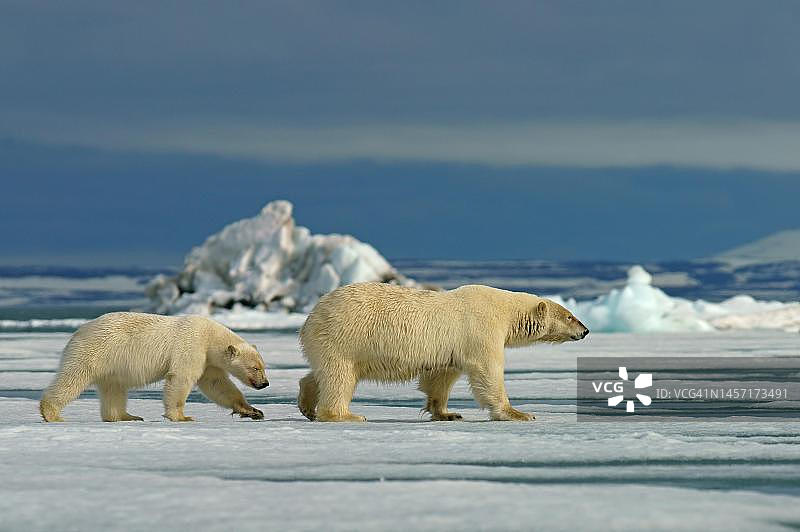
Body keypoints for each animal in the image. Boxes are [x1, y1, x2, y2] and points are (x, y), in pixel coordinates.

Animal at [39, 312, 269, 422]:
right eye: (256, 368)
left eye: (263, 366)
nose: (265, 383)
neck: (210, 336)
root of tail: (77, 332)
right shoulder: (192, 346)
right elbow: (181, 378)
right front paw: (182, 417)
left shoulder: (208, 360)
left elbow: (217, 384)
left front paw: (253, 411)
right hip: (93, 352)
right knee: (72, 378)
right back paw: (51, 413)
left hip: (111, 365)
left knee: (114, 388)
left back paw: (127, 416)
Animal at [298, 282, 589, 422]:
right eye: (570, 315)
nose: (585, 330)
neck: (505, 310)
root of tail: (311, 318)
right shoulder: (482, 328)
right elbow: (488, 371)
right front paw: (519, 413)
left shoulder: (451, 347)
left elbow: (441, 376)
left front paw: (447, 413)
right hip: (345, 337)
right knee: (340, 377)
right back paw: (346, 415)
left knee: (322, 373)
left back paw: (307, 404)